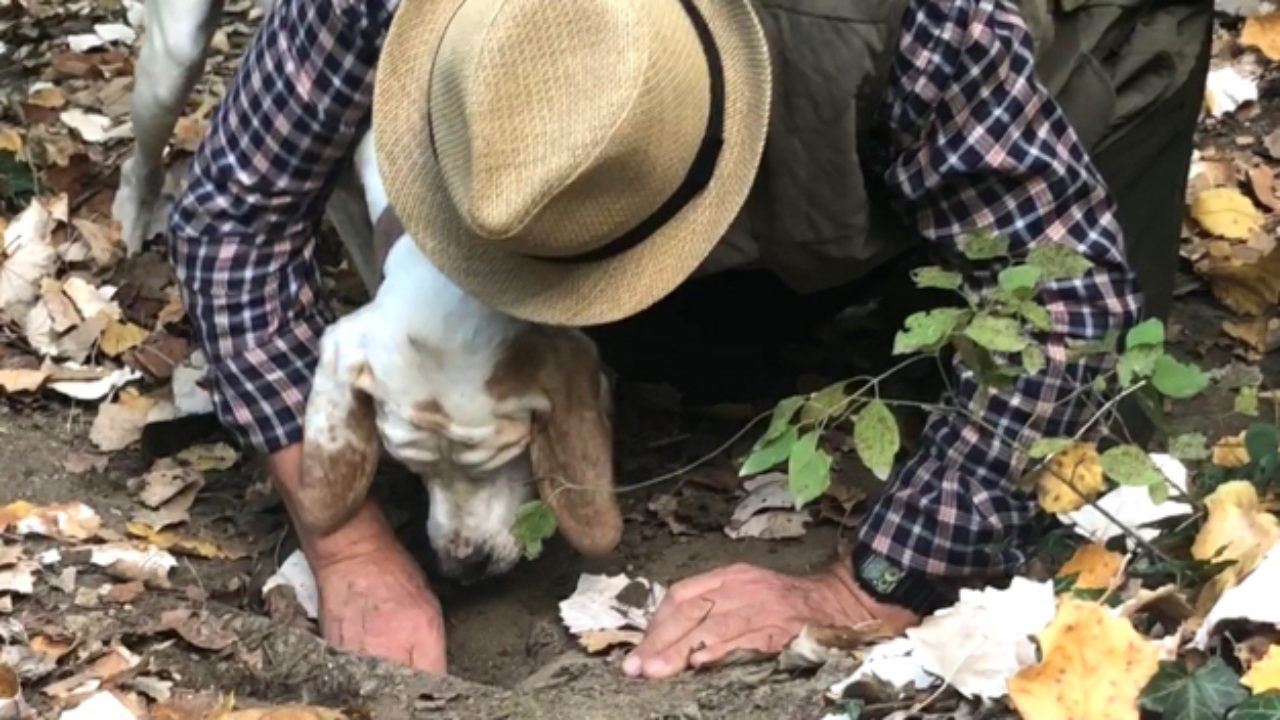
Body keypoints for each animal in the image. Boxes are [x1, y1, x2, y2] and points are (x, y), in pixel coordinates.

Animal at [117, 0, 627, 576]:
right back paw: (133, 219)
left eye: (504, 458)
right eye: (412, 467)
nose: (463, 565)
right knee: (140, 155)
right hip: (174, 57)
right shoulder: (341, 188)